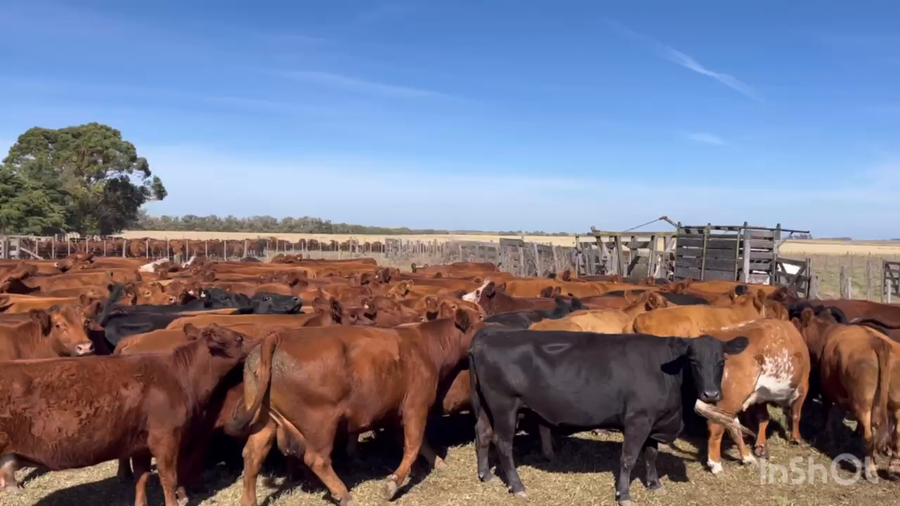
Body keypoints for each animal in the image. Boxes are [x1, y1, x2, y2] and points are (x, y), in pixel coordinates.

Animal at [0, 324, 253, 506]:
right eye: (239, 339)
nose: (256, 342)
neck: (179, 376)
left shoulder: (140, 446)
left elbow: (141, 479)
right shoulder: (165, 438)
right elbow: (169, 479)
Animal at [228, 307, 481, 506]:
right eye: (480, 323)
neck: (428, 344)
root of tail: (278, 338)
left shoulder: (394, 411)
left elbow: (417, 443)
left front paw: (436, 463)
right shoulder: (415, 406)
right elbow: (413, 445)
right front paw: (393, 484)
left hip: (265, 420)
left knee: (253, 454)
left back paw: (249, 501)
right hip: (321, 423)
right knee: (316, 459)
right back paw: (343, 494)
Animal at [468, 328, 749, 505]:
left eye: (721, 361)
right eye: (693, 361)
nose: (711, 394)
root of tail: (487, 335)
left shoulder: (655, 421)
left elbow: (651, 454)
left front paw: (654, 484)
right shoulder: (638, 420)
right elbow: (628, 458)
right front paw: (624, 494)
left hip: (486, 407)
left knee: (482, 434)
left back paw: (486, 475)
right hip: (505, 405)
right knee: (503, 444)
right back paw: (517, 487)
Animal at [704, 319, 811, 475]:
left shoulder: (761, 395)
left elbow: (763, 418)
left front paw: (760, 445)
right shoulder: (803, 386)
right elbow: (797, 415)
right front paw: (796, 438)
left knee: (734, 427)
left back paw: (747, 457)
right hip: (729, 399)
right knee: (716, 426)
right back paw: (716, 464)